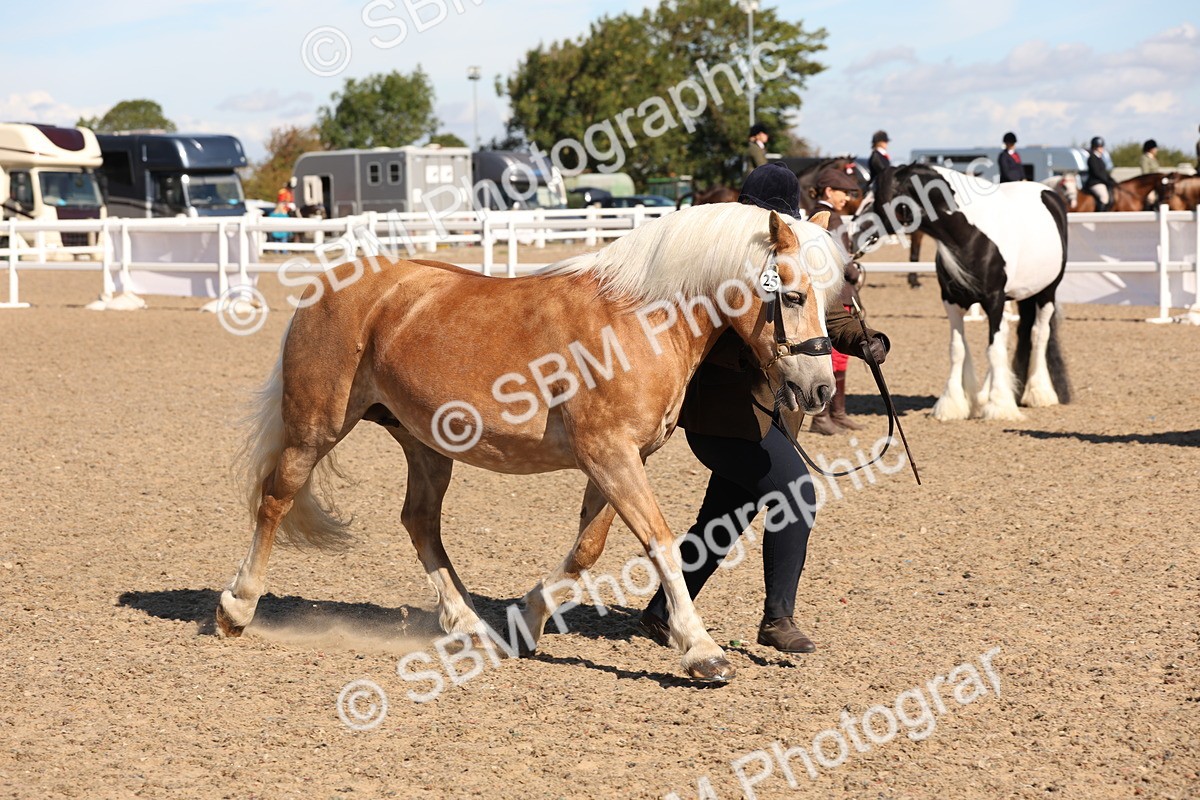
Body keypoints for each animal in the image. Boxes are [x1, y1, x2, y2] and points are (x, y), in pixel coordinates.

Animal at [214, 203, 846, 682]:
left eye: (831, 294)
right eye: (792, 296)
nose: (818, 389)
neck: (640, 320)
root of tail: (328, 285)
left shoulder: (620, 460)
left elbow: (587, 550)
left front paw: (525, 620)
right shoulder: (610, 455)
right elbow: (660, 544)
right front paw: (702, 651)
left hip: (425, 444)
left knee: (419, 522)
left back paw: (471, 627)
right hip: (314, 429)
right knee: (276, 500)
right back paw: (236, 607)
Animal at [869, 164, 1071, 421]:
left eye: (881, 199)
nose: (854, 231)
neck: (970, 235)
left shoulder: (994, 300)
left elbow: (993, 349)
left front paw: (999, 406)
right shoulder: (952, 301)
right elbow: (958, 349)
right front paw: (952, 404)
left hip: (1046, 293)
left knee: (1039, 334)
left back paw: (1038, 393)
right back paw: (988, 393)